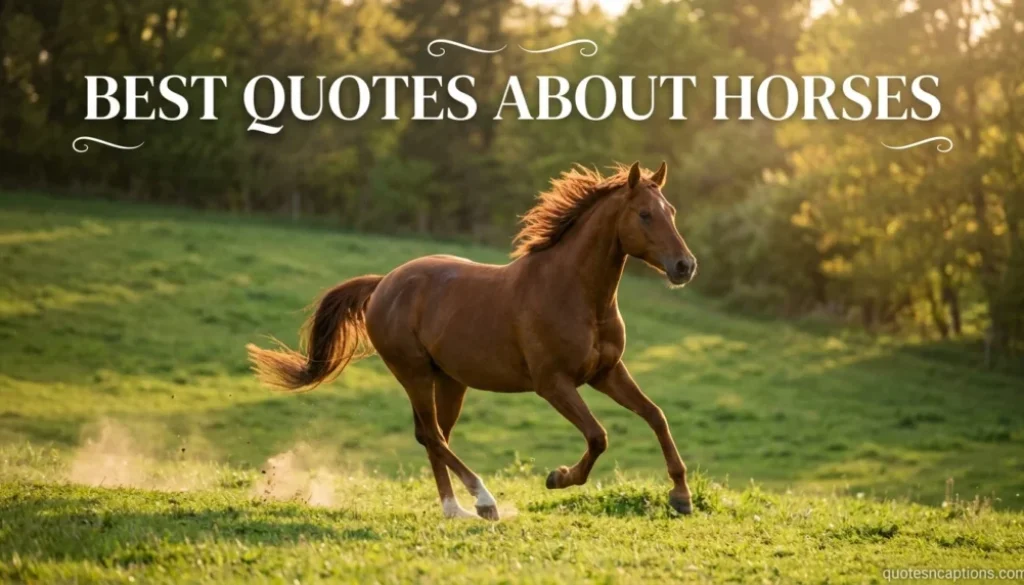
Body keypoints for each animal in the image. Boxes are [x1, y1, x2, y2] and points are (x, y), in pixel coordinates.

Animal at [247, 161, 698, 520]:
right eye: (644, 214)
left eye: (671, 211)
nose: (685, 266)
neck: (574, 293)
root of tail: (383, 283)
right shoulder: (553, 383)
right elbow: (598, 436)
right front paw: (557, 478)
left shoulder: (606, 372)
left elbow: (656, 416)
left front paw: (680, 497)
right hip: (413, 372)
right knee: (431, 435)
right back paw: (483, 501)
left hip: (449, 380)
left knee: (433, 436)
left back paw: (455, 509)